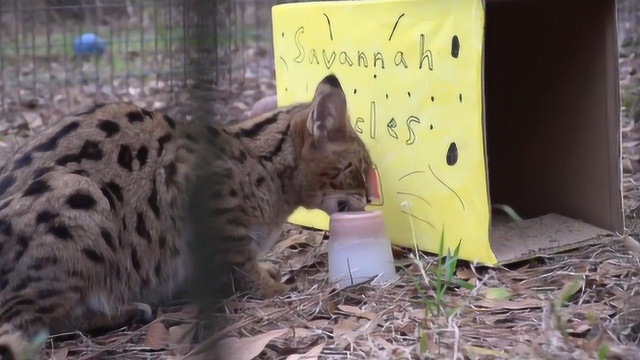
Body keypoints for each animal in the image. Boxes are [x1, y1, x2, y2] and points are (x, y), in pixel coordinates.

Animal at [0, 74, 372, 358]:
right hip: (78, 194)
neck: (264, 167)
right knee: (31, 321)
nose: (371, 198)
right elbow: (243, 264)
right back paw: (125, 309)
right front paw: (274, 287)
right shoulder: (194, 194)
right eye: (360, 168)